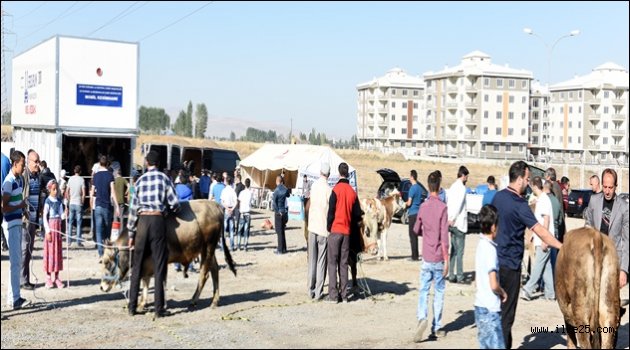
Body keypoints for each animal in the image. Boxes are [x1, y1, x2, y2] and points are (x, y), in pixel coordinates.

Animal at [100, 201, 238, 310]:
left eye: (107, 262)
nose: (101, 287)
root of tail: (215, 205)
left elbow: (152, 280)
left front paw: (148, 303)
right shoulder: (147, 262)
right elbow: (148, 280)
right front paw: (146, 303)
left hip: (208, 247)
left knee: (204, 274)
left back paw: (194, 300)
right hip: (208, 250)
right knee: (214, 270)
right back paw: (214, 301)